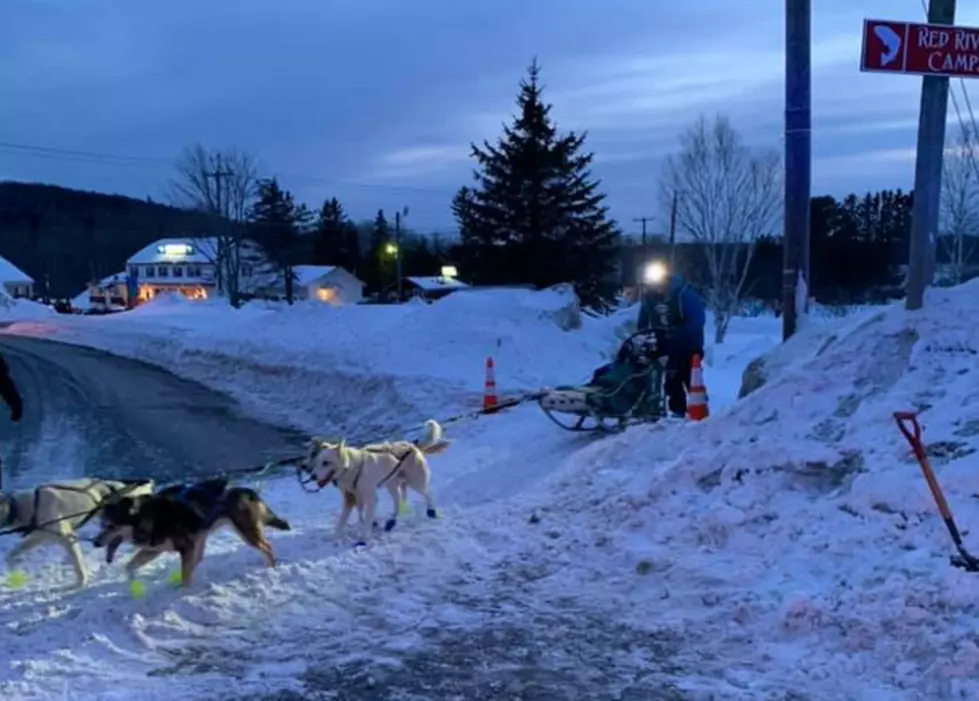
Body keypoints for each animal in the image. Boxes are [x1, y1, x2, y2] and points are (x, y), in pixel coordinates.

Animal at [0, 478, 154, 588]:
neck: (23, 506)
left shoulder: (68, 538)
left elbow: (78, 565)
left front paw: (81, 583)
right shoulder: (38, 538)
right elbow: (11, 555)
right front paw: (15, 574)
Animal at [306, 418, 452, 544]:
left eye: (326, 463)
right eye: (317, 462)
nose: (312, 476)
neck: (352, 468)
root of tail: (413, 446)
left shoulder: (370, 497)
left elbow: (365, 518)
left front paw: (363, 539)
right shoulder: (351, 497)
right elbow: (347, 520)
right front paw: (337, 536)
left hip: (415, 482)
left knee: (427, 493)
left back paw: (431, 510)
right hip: (392, 484)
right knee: (398, 501)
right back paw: (392, 521)